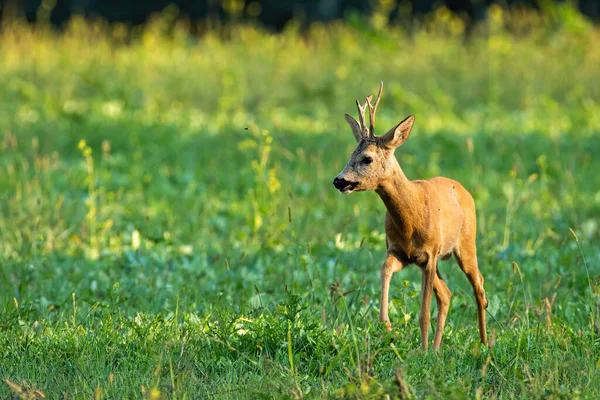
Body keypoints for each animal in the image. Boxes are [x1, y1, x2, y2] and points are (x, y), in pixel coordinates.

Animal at [332, 82, 488, 350]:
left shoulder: (429, 254)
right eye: (351, 154)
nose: (339, 181)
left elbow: (423, 312)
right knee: (446, 294)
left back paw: (484, 342)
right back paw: (437, 348)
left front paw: (422, 351)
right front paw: (386, 324)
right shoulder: (401, 252)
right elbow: (384, 270)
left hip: (466, 243)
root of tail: (464, 190)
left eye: (367, 158)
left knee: (478, 284)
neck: (410, 219)